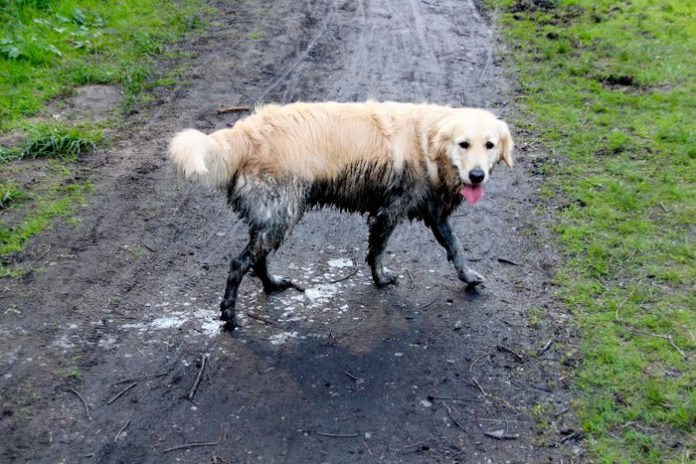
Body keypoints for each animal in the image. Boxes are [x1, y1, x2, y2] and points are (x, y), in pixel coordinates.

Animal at [171, 101, 512, 326]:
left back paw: (271, 283)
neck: (428, 143)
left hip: (274, 216)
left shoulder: (435, 212)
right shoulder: (389, 211)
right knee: (239, 263)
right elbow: (378, 250)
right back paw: (229, 314)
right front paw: (381, 278)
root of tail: (243, 132)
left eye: (490, 144)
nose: (477, 176)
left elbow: (456, 248)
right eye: (463, 144)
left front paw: (468, 276)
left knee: (257, 257)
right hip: (282, 212)